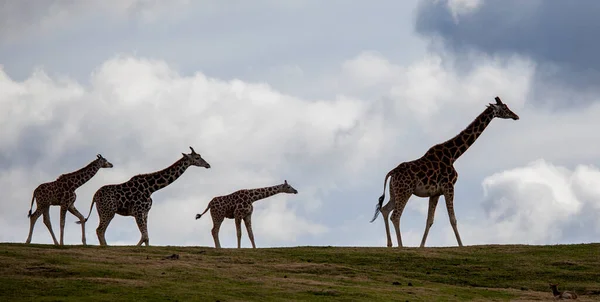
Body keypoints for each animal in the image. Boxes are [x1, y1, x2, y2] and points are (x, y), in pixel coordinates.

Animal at [78, 147, 211, 247]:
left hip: (104, 211)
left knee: (101, 230)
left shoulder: (146, 212)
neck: (151, 188)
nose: (208, 165)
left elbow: (146, 237)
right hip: (109, 211)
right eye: (197, 158)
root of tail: (94, 196)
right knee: (100, 230)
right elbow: (144, 236)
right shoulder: (138, 211)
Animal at [368, 96, 516, 248]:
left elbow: (430, 220)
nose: (515, 116)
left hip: (395, 192)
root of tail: (391, 173)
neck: (453, 155)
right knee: (395, 216)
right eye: (505, 108)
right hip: (405, 191)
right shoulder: (449, 186)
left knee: (385, 210)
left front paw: (421, 247)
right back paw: (401, 246)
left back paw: (390, 244)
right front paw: (461, 246)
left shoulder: (435, 193)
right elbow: (453, 219)